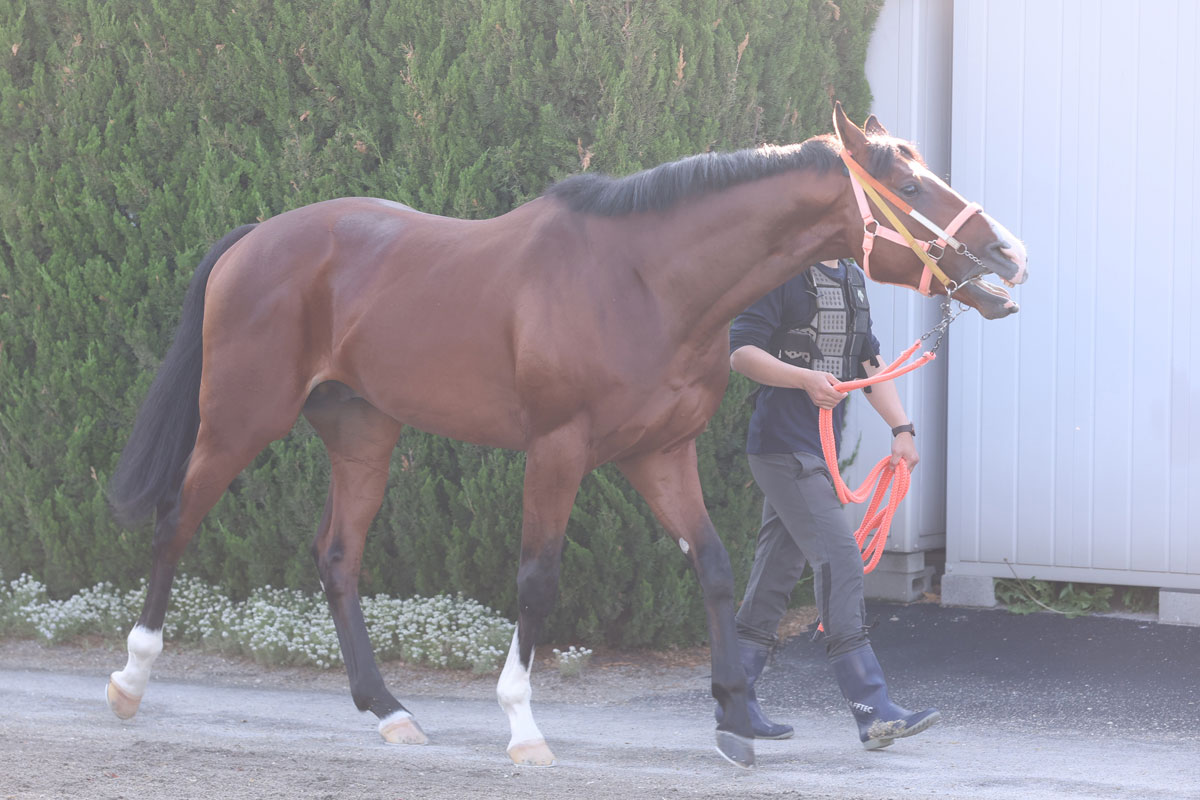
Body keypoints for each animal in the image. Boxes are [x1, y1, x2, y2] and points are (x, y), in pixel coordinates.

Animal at [104, 103, 1027, 769]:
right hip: (240, 416)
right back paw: (129, 679)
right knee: (174, 523)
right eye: (912, 187)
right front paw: (523, 727)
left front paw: (737, 716)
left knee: (338, 557)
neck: (645, 281)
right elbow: (538, 579)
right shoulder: (558, 450)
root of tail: (255, 238)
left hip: (362, 429)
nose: (1008, 254)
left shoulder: (660, 453)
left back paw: (391, 712)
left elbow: (715, 566)